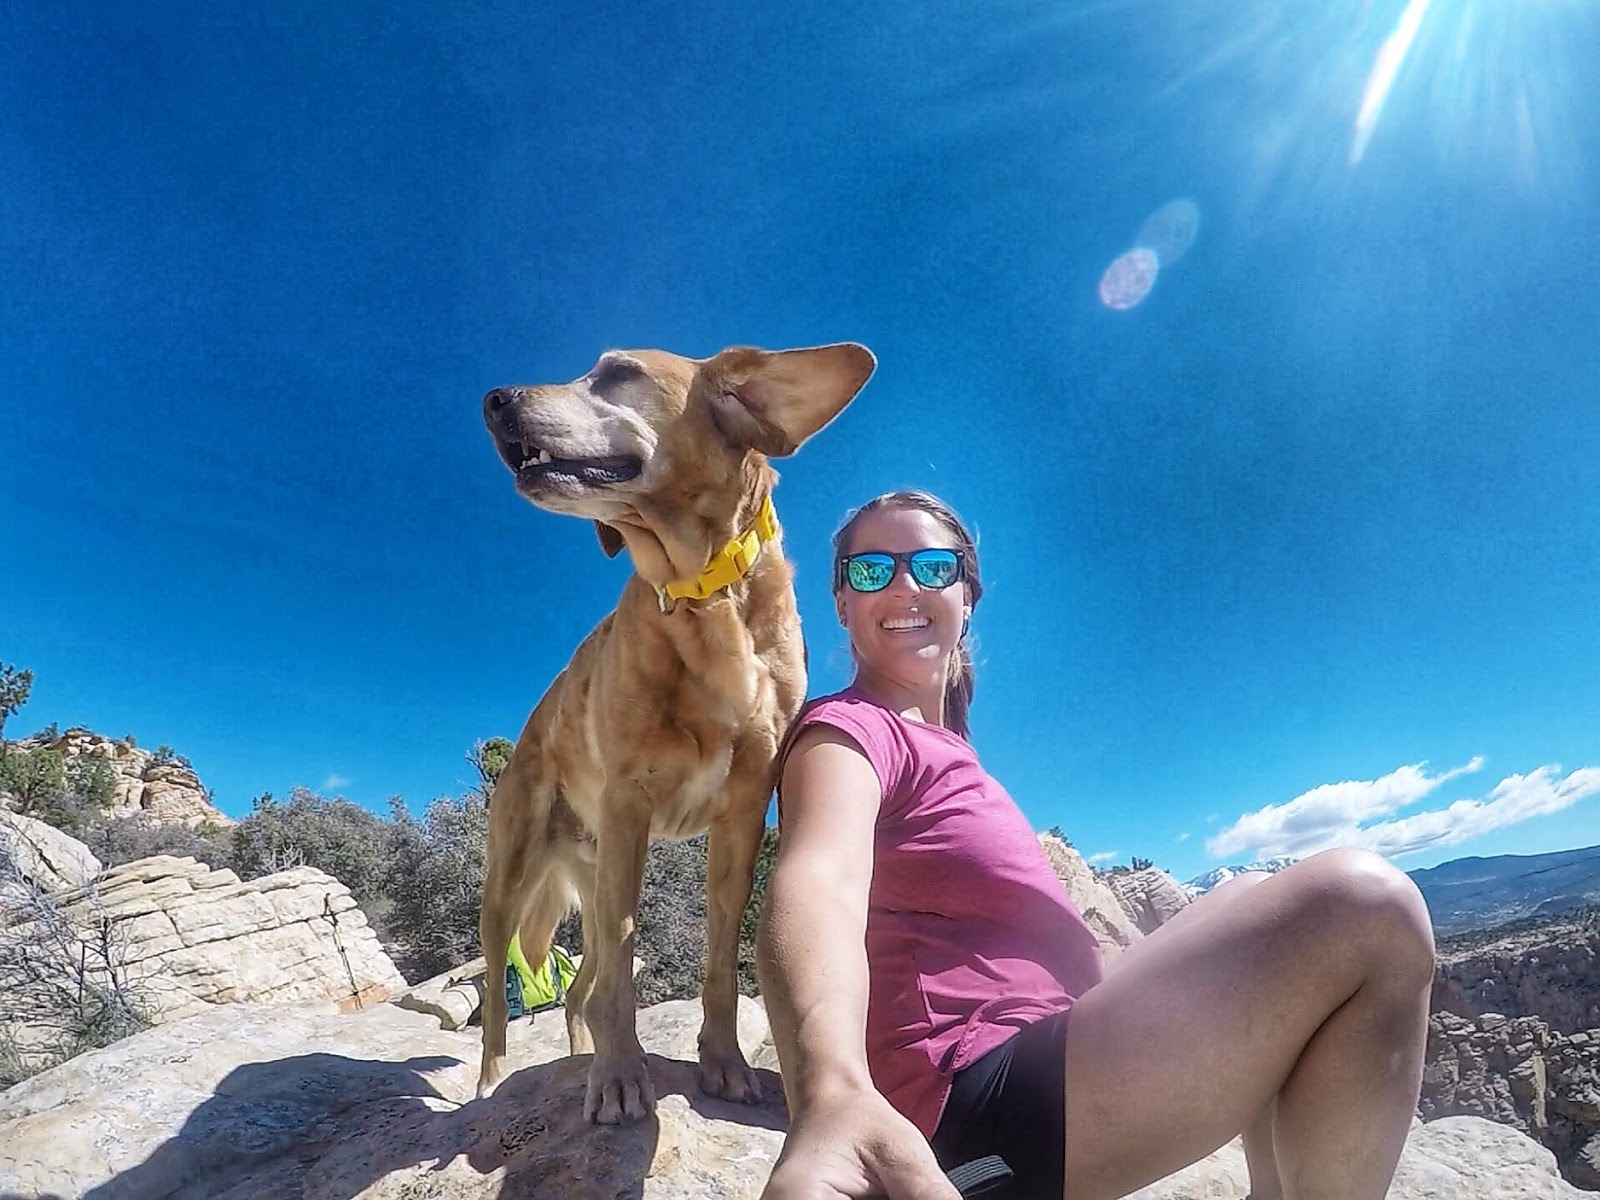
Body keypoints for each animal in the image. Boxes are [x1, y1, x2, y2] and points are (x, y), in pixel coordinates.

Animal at [473, 340, 876, 1126]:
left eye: (618, 372)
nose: (494, 399)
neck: (702, 593)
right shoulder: (629, 804)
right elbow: (621, 979)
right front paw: (619, 1076)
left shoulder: (743, 816)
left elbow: (718, 959)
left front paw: (723, 1063)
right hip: (513, 878)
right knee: (508, 1002)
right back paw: (492, 1085)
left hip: (593, 873)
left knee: (579, 988)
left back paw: (574, 1060)